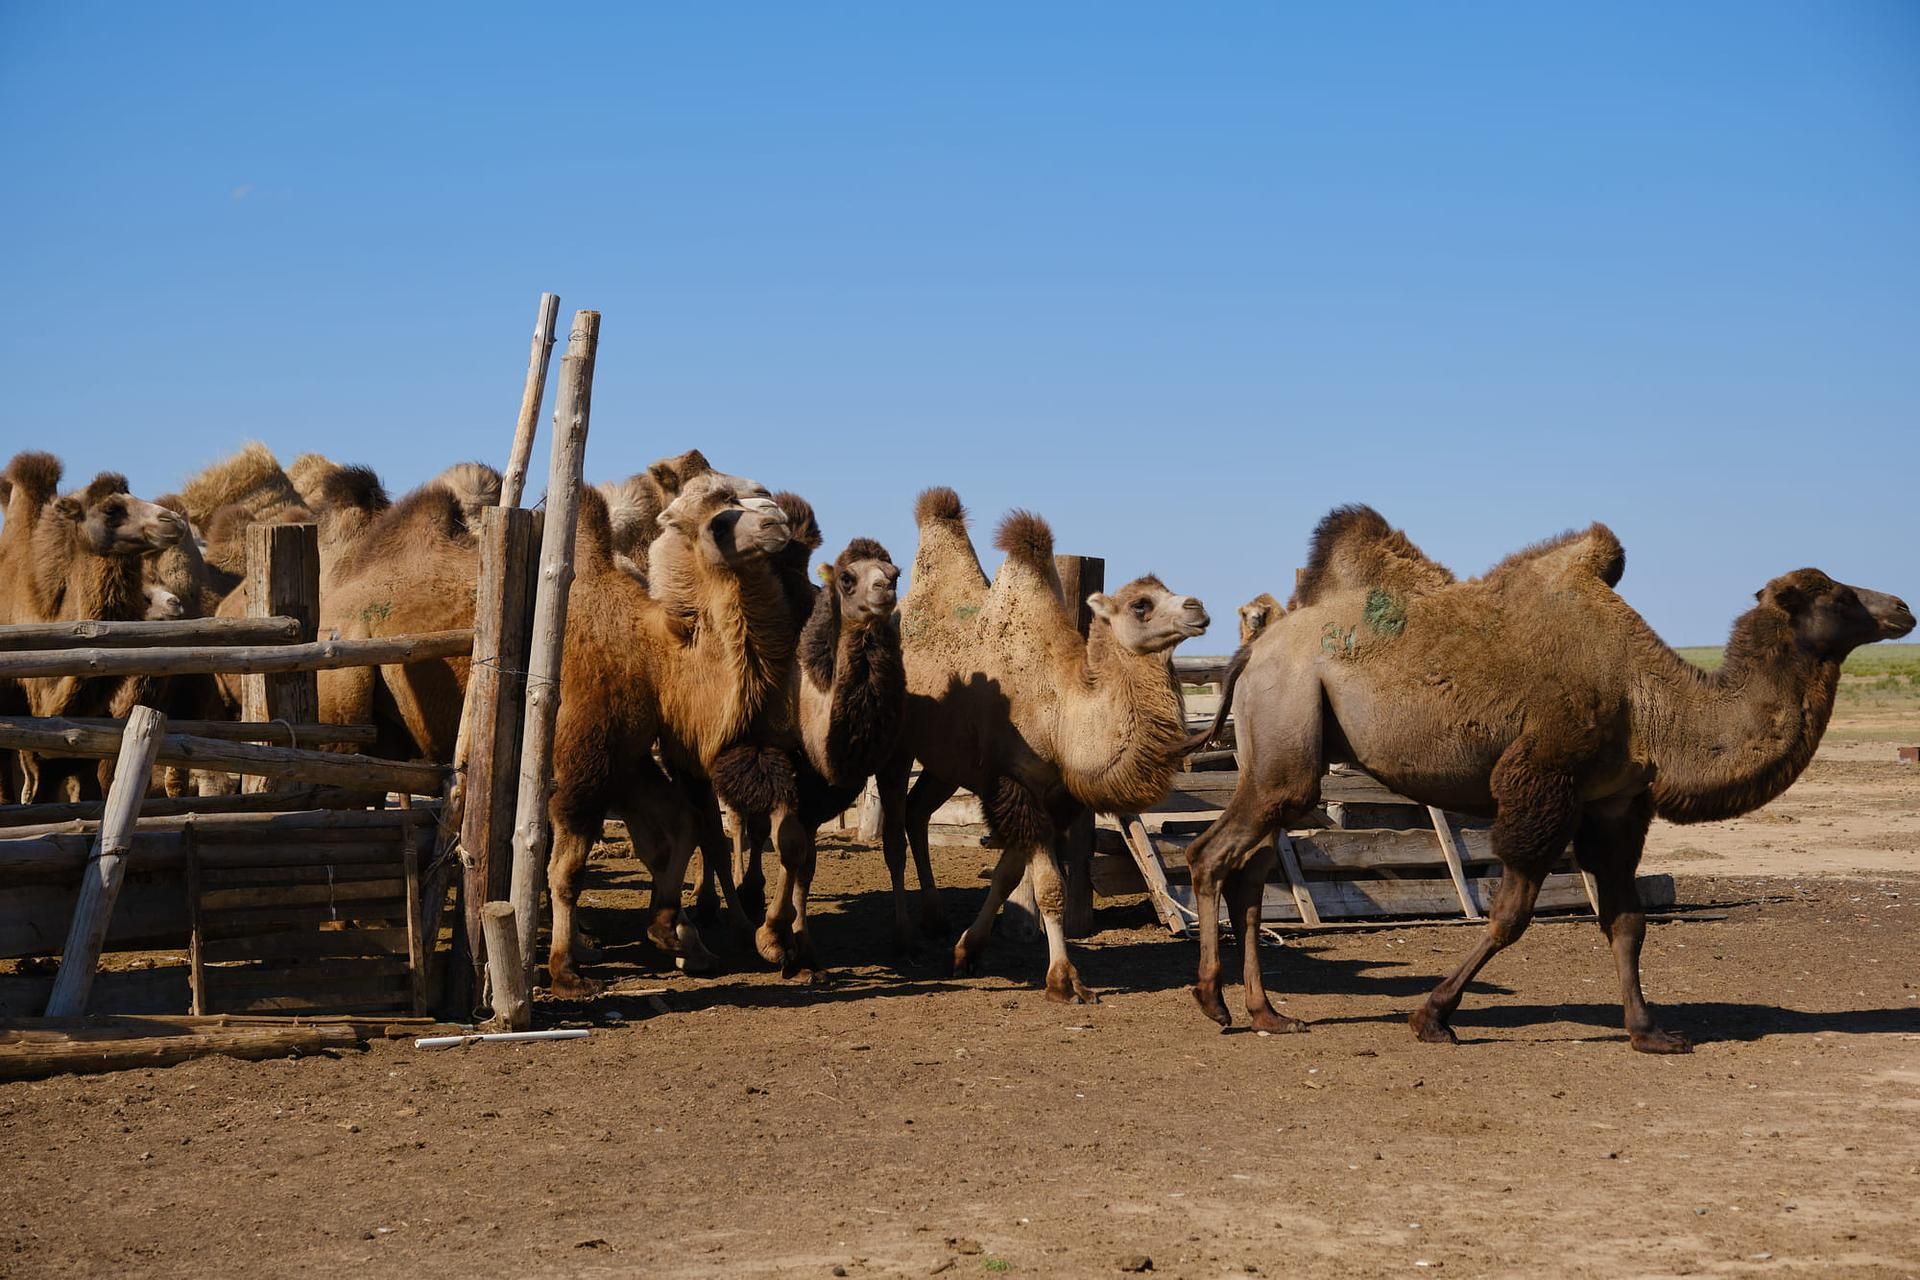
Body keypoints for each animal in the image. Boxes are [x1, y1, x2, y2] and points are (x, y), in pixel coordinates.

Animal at [879, 491, 1205, 997]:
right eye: (1141, 604)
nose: (1198, 608)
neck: (1063, 713)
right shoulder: (1020, 784)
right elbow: (1049, 887)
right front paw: (1064, 979)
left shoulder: (1053, 795)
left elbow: (1008, 873)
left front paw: (966, 950)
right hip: (895, 748)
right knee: (893, 830)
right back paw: (904, 937)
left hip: (946, 762)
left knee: (917, 812)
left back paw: (935, 921)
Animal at [1175, 506, 1912, 1059]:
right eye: (1837, 595)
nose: (1903, 607)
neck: (1649, 701)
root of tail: (1251, 652)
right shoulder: (1542, 783)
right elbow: (1510, 917)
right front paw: (1433, 1017)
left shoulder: (1616, 806)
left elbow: (1627, 921)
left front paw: (1650, 1032)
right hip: (1289, 736)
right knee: (1211, 853)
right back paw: (1213, 1002)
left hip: (1286, 750)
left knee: (1249, 868)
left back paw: (1270, 1014)